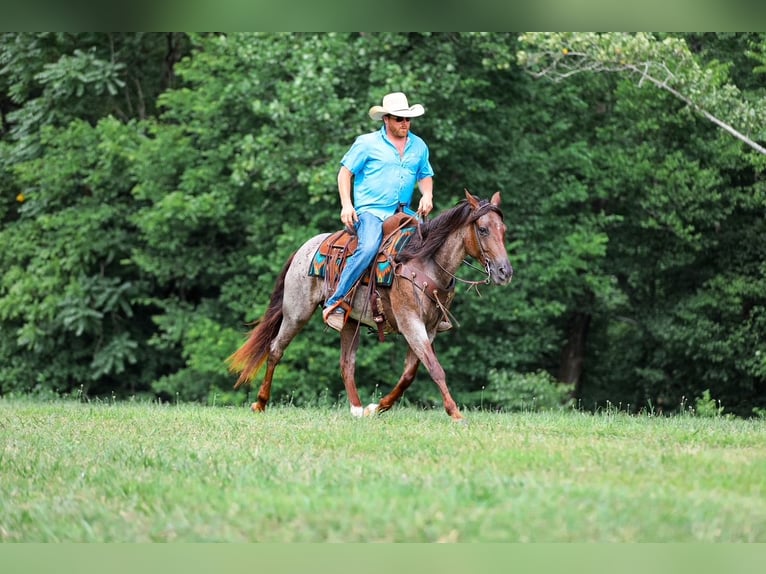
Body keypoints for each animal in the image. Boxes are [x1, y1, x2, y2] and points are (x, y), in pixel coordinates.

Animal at [227, 190, 513, 422]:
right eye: (483, 229)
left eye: (503, 230)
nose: (504, 272)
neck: (424, 262)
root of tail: (304, 248)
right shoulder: (411, 323)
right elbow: (435, 368)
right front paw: (455, 412)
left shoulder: (429, 328)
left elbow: (410, 373)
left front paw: (378, 407)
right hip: (296, 313)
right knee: (275, 350)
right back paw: (260, 403)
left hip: (349, 322)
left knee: (346, 363)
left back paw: (357, 408)